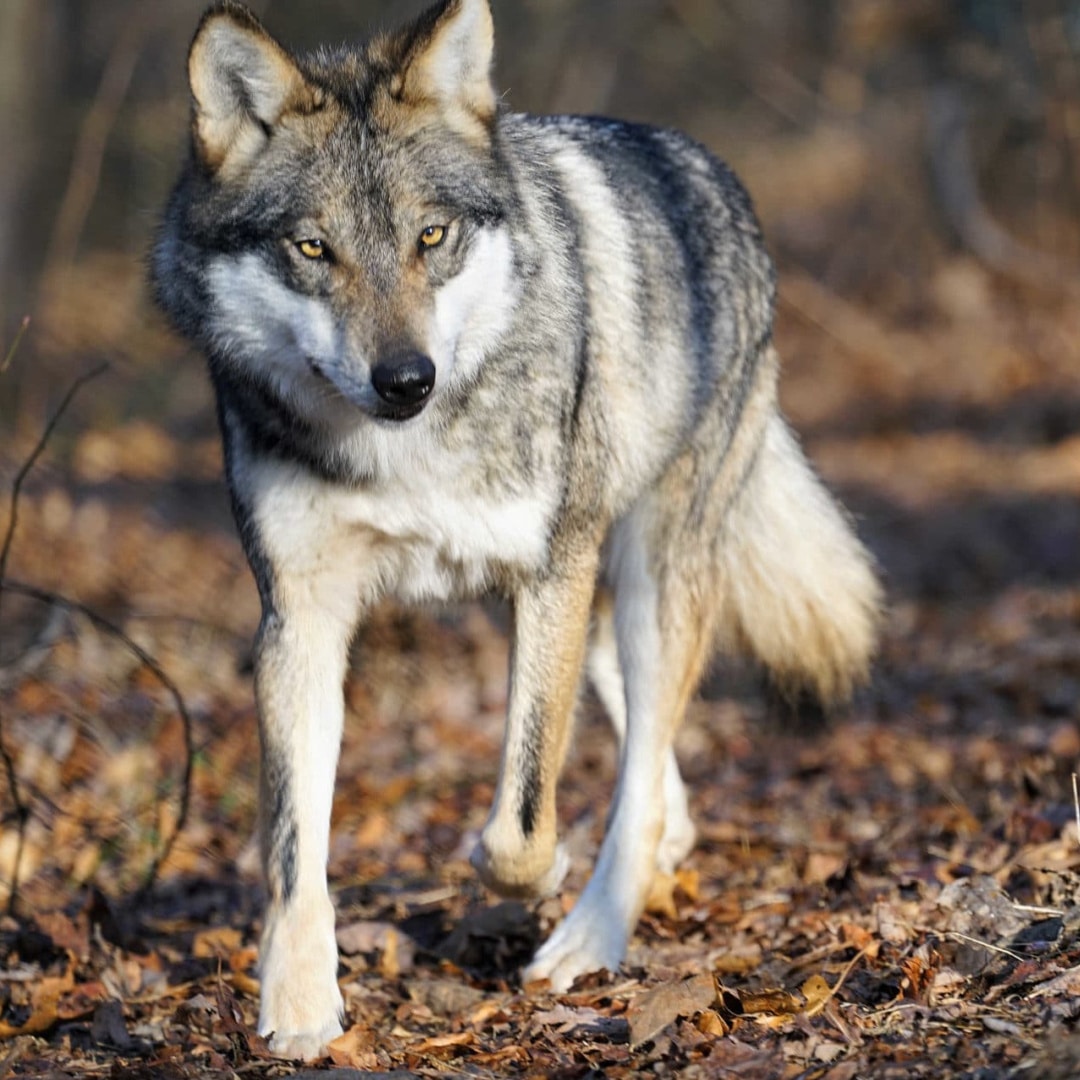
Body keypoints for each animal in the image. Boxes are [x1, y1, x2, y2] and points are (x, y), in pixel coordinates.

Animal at [150, 0, 876, 1062]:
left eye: (432, 236)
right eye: (313, 249)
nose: (405, 379)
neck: (404, 452)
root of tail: (701, 162)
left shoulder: (548, 574)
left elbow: (521, 820)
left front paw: (528, 875)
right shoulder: (298, 616)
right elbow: (291, 846)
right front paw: (298, 1005)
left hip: (645, 569)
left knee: (643, 745)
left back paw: (592, 936)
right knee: (636, 730)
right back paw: (664, 849)